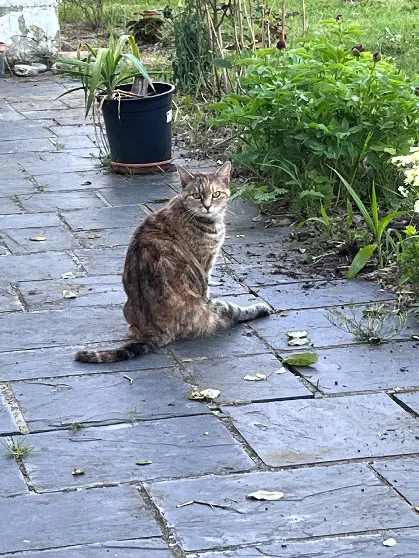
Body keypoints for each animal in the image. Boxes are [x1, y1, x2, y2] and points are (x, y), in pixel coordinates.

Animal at [75, 161, 272, 364]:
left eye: (216, 194)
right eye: (196, 195)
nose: (207, 206)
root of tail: (155, 329)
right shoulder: (205, 264)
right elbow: (207, 287)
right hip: (218, 309)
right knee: (235, 313)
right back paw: (261, 308)